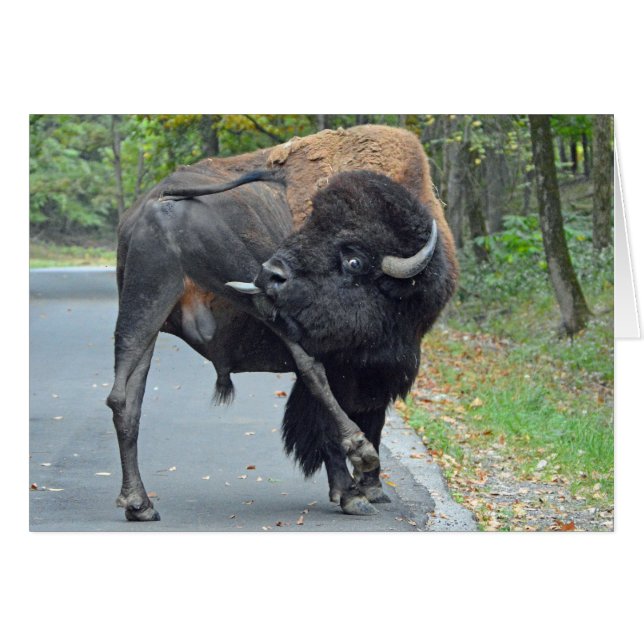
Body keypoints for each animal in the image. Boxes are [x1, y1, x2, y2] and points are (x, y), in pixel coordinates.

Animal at [107, 126, 457, 521]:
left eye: (353, 260)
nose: (271, 272)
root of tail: (156, 203)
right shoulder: (350, 368)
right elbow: (329, 415)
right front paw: (353, 492)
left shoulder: (379, 372)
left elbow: (373, 415)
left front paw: (369, 489)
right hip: (255, 294)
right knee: (309, 368)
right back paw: (360, 452)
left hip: (144, 309)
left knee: (125, 398)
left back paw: (139, 504)